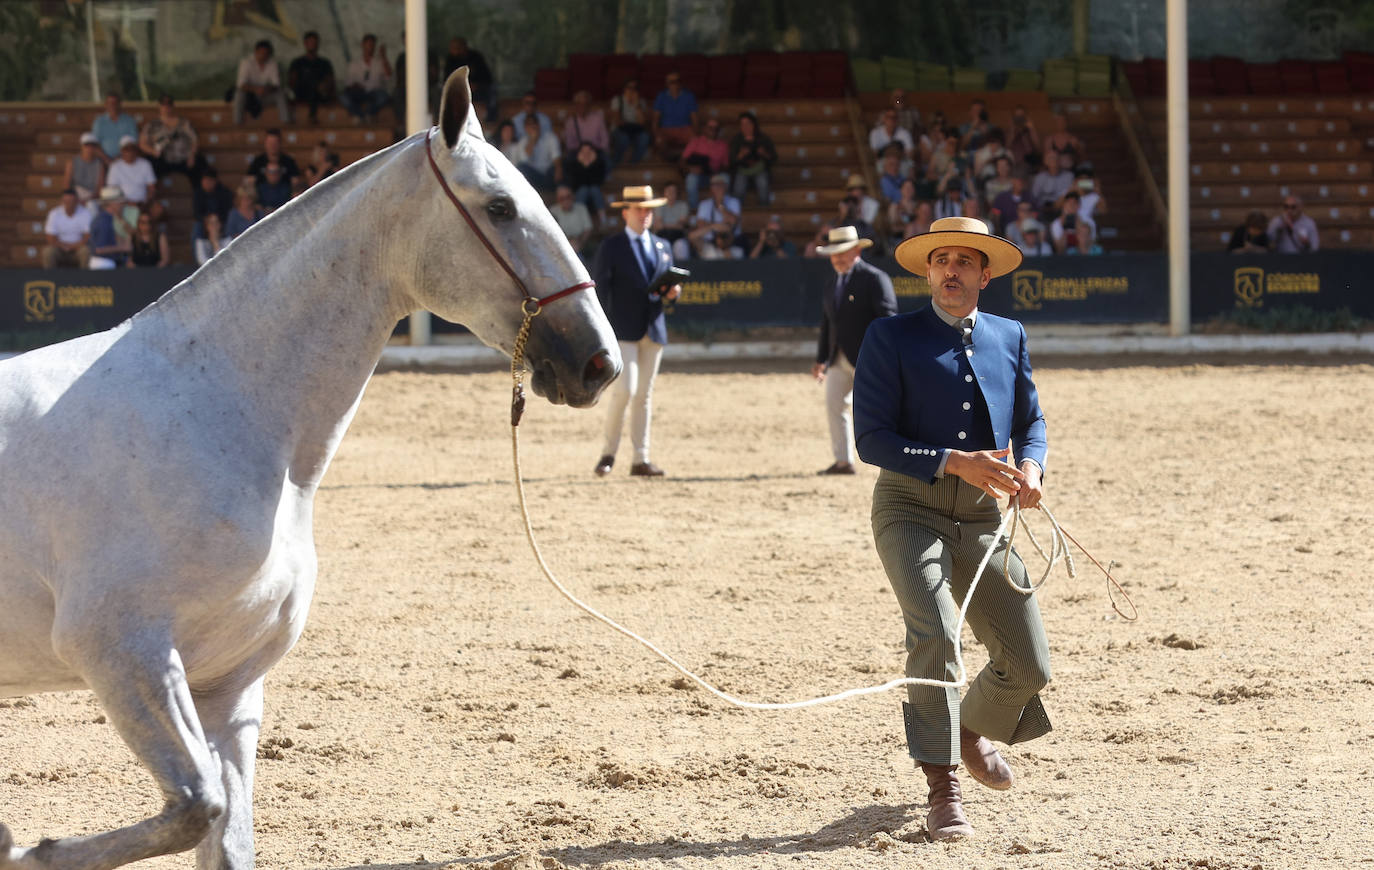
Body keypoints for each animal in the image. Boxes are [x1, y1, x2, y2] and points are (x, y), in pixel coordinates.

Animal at [0, 68, 620, 870]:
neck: (217, 407)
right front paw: (25, 849)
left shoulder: (227, 686)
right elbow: (194, 806)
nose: (599, 361)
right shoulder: (121, 655)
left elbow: (222, 828)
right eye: (501, 206)